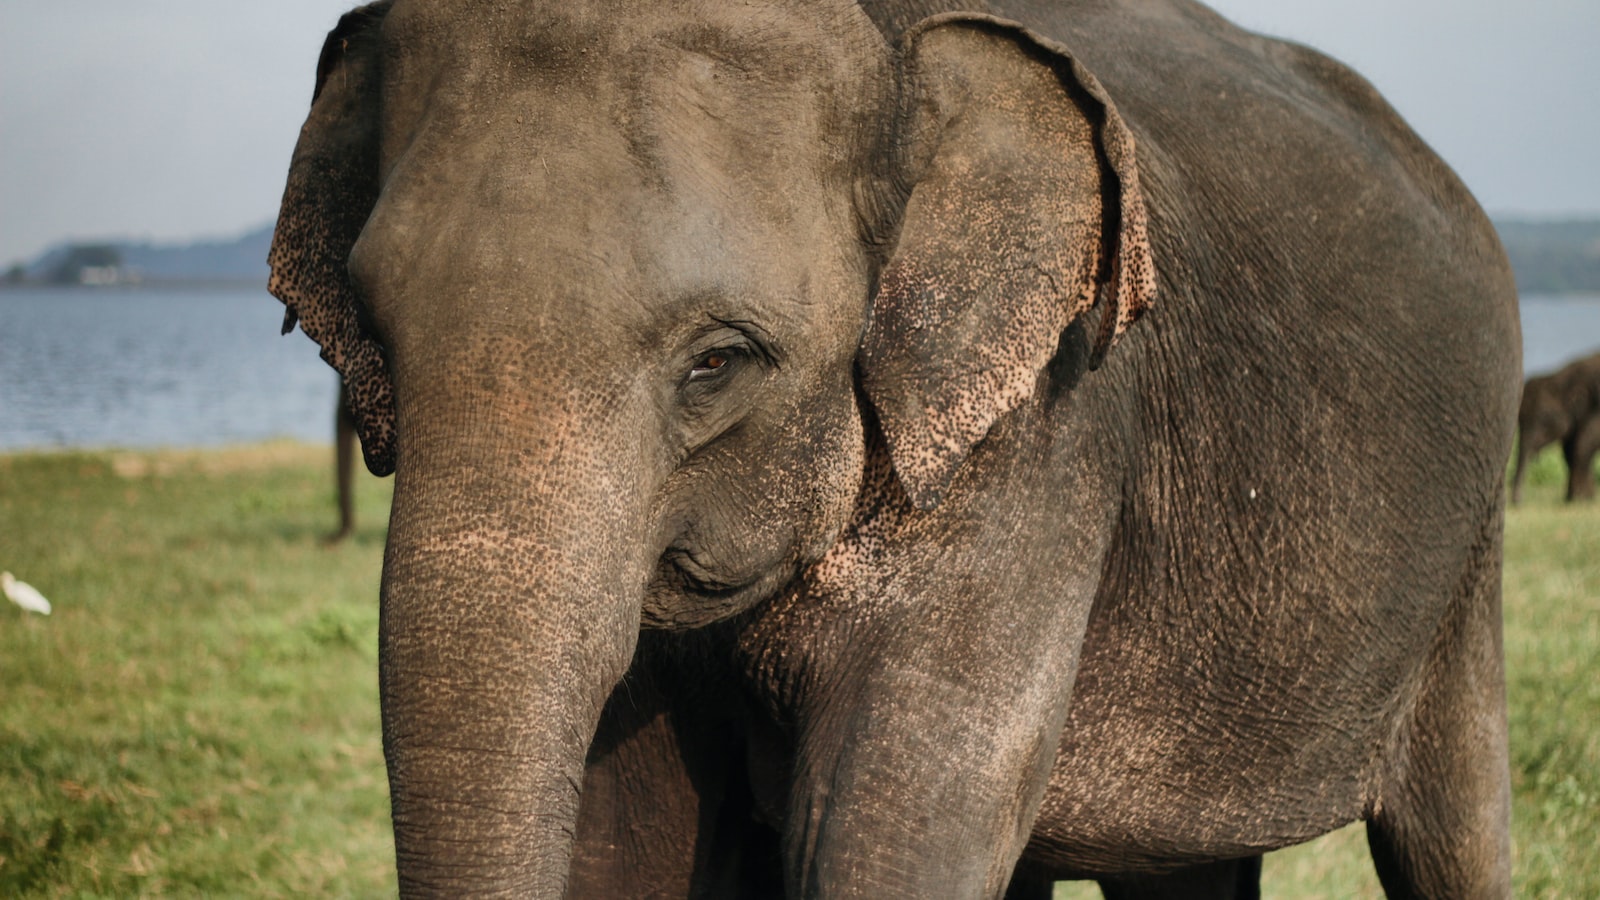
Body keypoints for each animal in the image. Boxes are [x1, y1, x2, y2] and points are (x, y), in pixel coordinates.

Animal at [268, 1, 1516, 896]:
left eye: (716, 363)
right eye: (369, 338)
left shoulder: (1039, 437)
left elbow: (902, 825)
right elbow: (633, 833)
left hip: (1466, 566)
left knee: (1455, 825)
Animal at [1510, 352, 1600, 506]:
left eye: (1544, 418)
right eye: (1519, 420)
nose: (1517, 502)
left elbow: (1583, 444)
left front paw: (1580, 500)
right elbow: (1569, 451)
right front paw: (1576, 499)